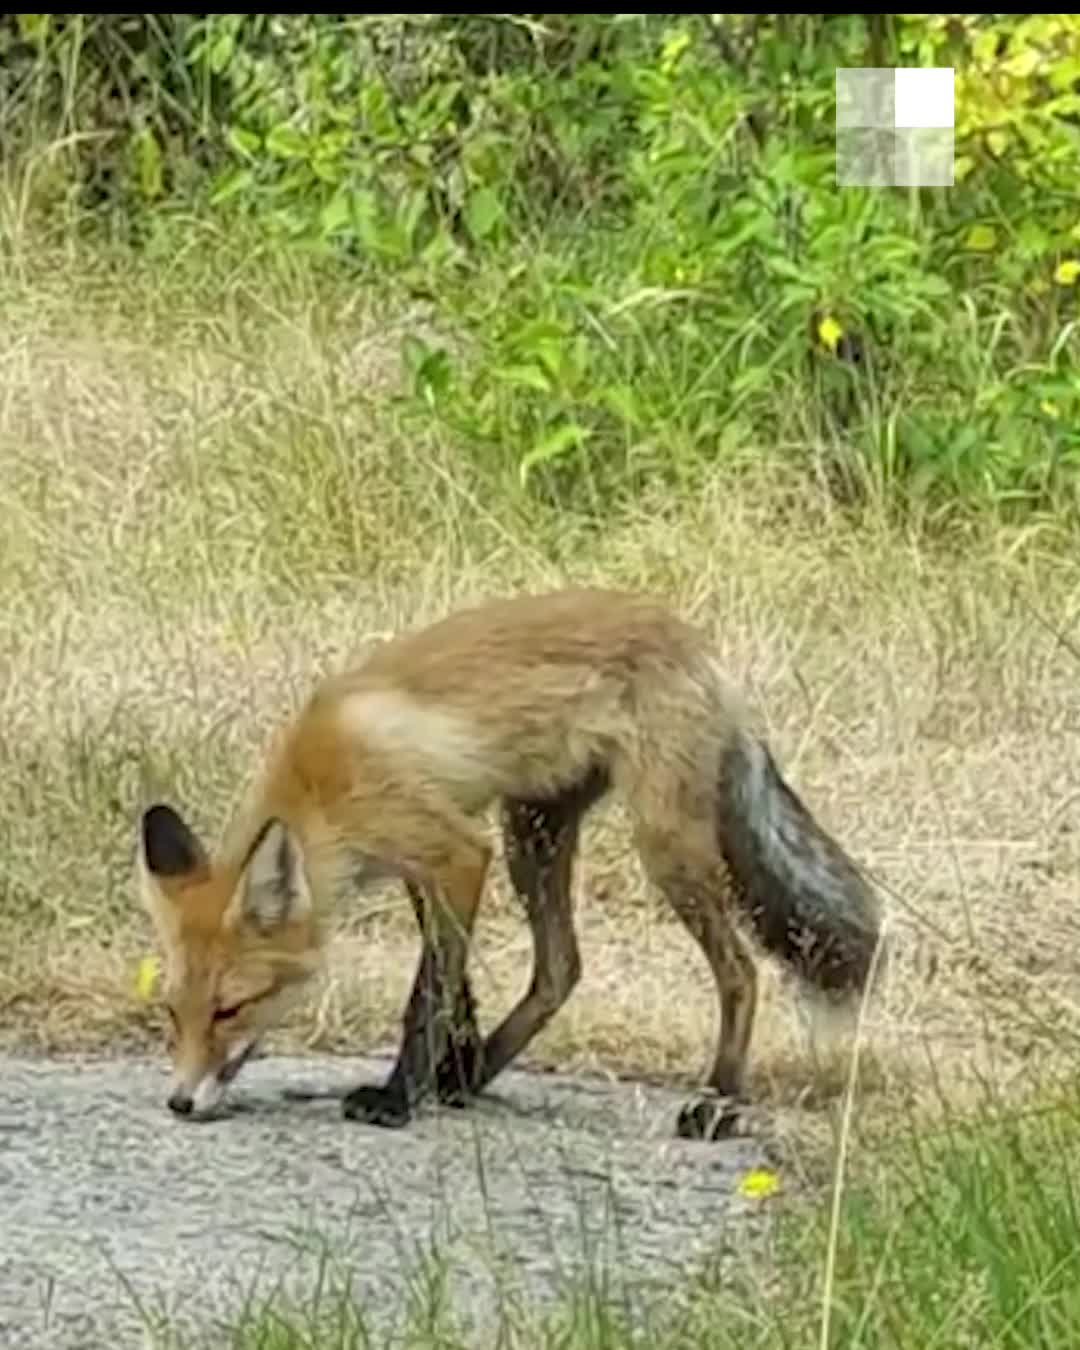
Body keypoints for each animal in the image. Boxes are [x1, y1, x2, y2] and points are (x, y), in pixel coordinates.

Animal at [137, 591, 885, 1139]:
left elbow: (428, 995)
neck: (325, 787)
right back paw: (473, 1077)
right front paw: (448, 1066)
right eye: (174, 1012)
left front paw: (397, 1098)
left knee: (740, 972)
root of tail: (698, 644)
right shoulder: (427, 864)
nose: (179, 1102)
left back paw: (718, 1102)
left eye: (231, 1009)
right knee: (560, 969)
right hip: (533, 833)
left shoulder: (457, 851)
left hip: (660, 847)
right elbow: (453, 981)